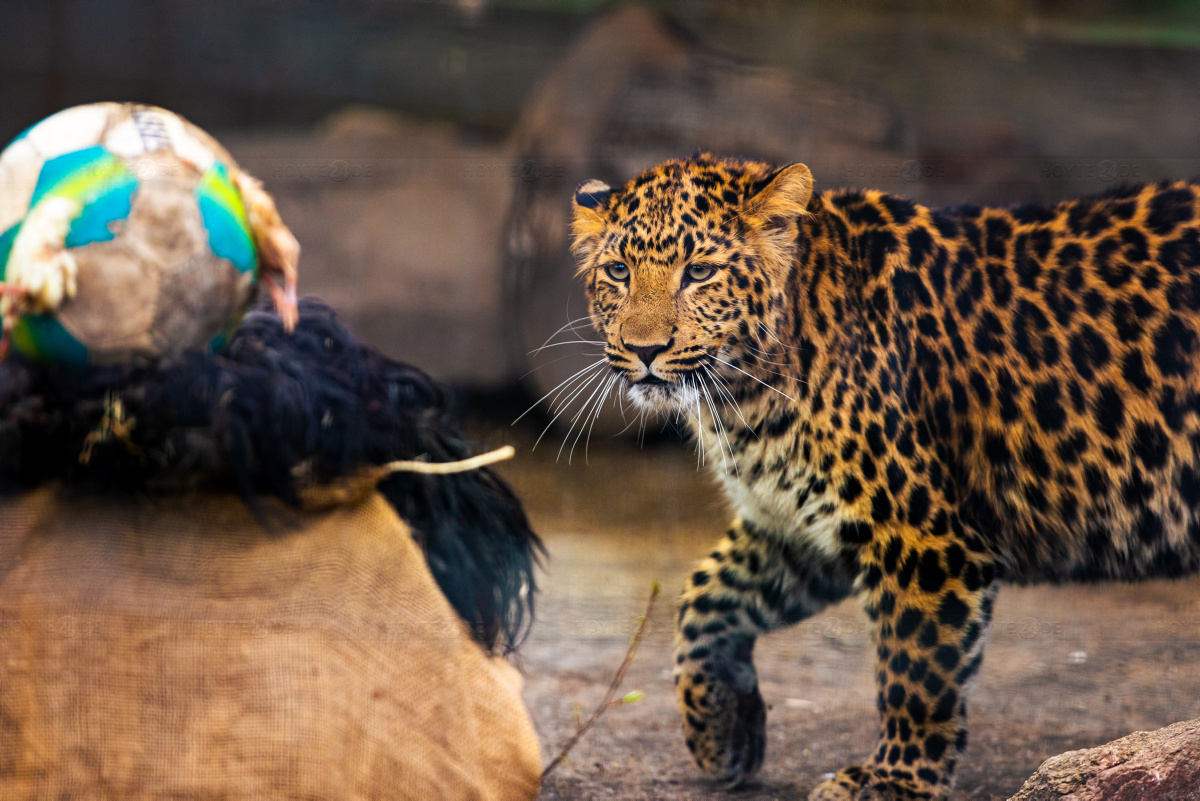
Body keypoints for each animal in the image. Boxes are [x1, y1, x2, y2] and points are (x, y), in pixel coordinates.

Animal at [566, 153, 1200, 796]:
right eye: (617, 271)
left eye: (698, 272)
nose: (644, 350)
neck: (750, 395)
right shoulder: (796, 522)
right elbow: (703, 596)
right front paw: (721, 734)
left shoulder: (921, 540)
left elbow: (915, 670)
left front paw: (893, 780)